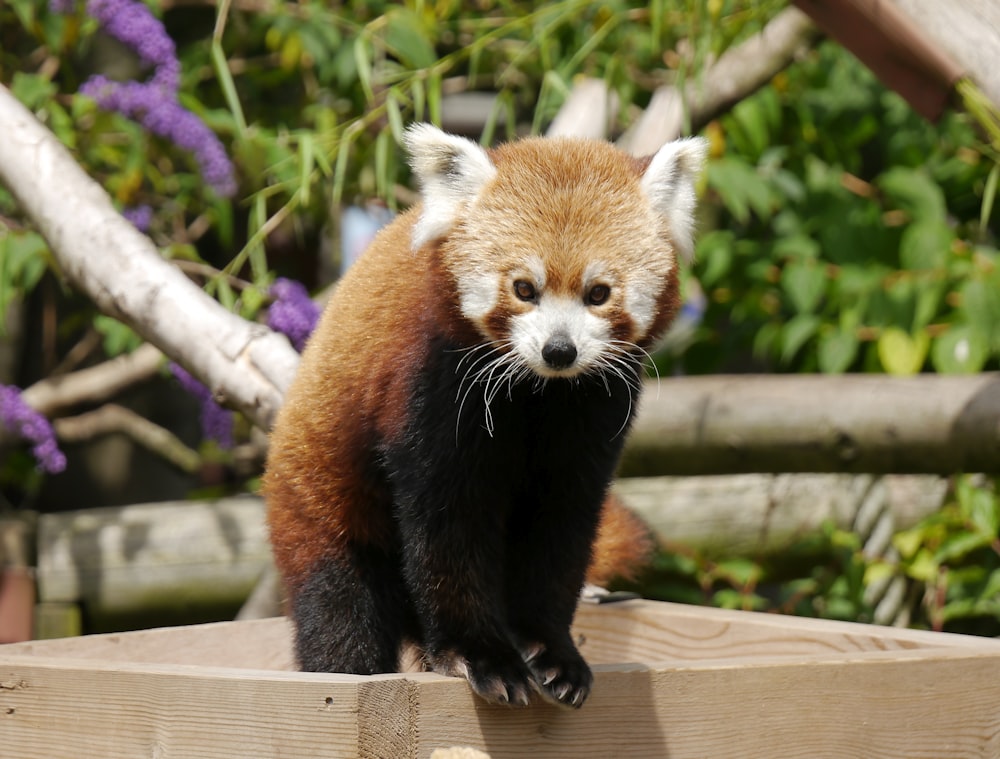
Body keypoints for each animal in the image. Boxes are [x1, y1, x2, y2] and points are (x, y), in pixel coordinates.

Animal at [262, 121, 708, 708]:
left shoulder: (592, 408)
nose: (559, 351)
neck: (540, 392)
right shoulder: (432, 384)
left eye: (598, 293)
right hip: (319, 498)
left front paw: (552, 652)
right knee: (339, 603)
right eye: (523, 288)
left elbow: (561, 524)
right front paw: (480, 655)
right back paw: (345, 665)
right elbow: (447, 523)